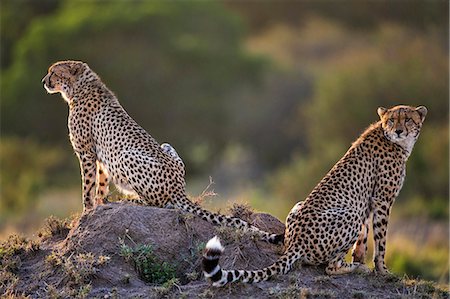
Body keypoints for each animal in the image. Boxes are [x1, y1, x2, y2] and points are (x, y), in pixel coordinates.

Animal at [41, 59, 282, 245]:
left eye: (53, 72)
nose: (44, 81)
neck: (79, 87)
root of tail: (179, 189)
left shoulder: (86, 152)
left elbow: (87, 185)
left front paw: (87, 210)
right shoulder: (99, 157)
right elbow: (100, 183)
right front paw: (99, 204)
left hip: (126, 155)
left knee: (156, 203)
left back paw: (127, 200)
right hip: (165, 146)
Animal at [204, 105, 428, 286]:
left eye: (407, 119)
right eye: (391, 120)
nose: (398, 130)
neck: (392, 139)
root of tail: (296, 242)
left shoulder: (367, 203)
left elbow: (363, 239)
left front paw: (360, 259)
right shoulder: (382, 201)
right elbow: (381, 241)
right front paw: (381, 270)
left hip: (300, 205)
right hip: (350, 216)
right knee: (329, 267)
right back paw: (355, 268)